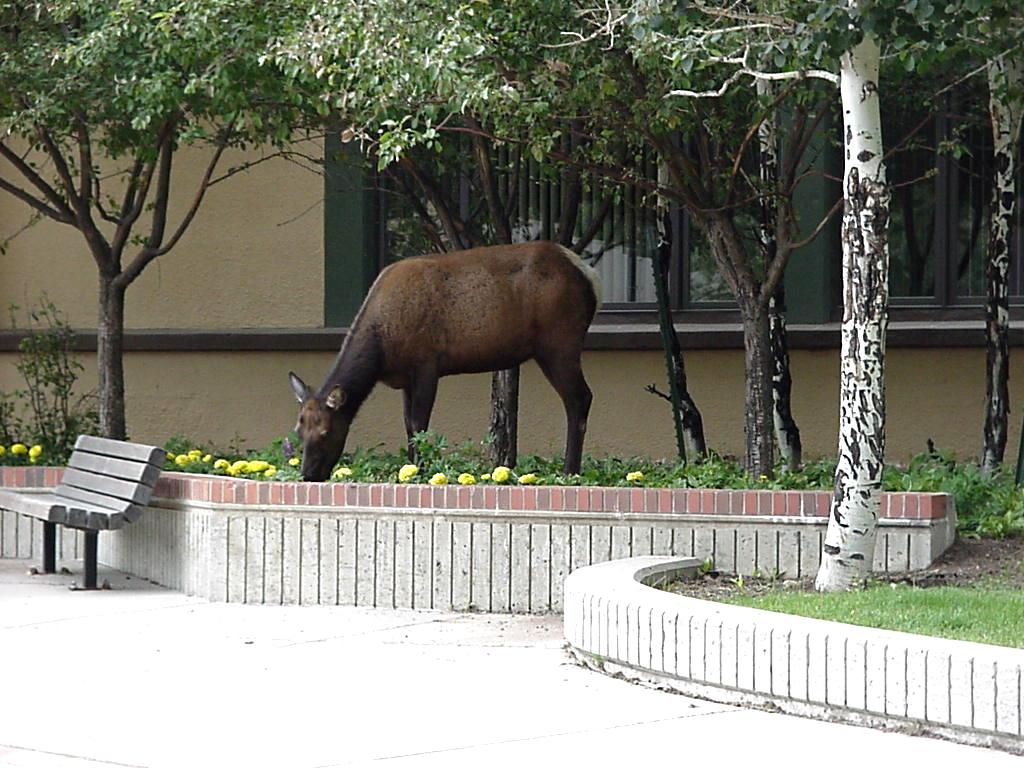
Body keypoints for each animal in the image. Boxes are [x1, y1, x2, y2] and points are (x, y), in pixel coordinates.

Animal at [288, 240, 598, 481]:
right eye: (299, 431)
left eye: (325, 432)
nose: (308, 474)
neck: (382, 349)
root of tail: (590, 277)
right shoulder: (405, 378)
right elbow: (408, 425)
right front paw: (411, 467)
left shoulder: (426, 363)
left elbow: (419, 423)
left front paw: (420, 470)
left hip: (559, 342)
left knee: (580, 397)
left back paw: (570, 470)